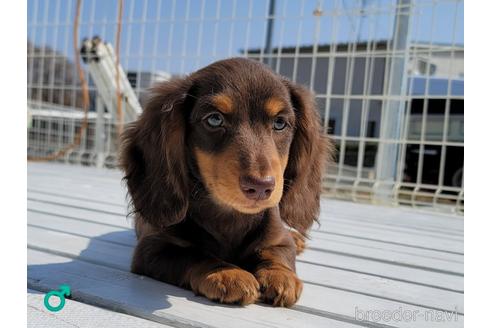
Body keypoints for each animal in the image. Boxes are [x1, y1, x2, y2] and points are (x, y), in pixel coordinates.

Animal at [121, 58, 332, 308]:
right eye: (214, 119)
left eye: (280, 123)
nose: (261, 187)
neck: (230, 216)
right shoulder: (152, 248)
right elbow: (194, 255)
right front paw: (226, 273)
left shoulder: (278, 239)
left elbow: (277, 252)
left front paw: (280, 275)